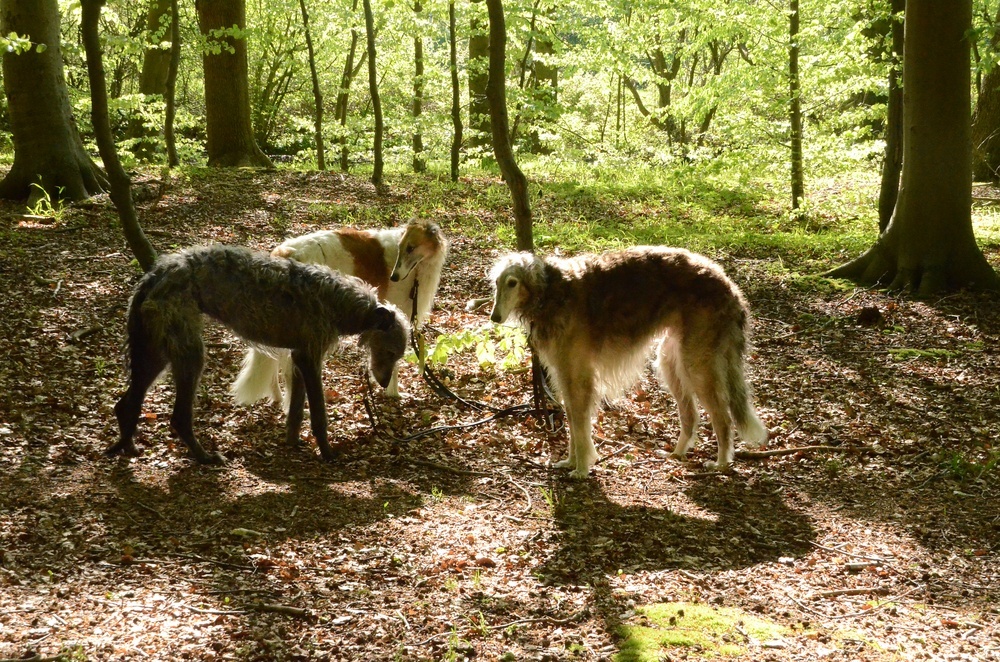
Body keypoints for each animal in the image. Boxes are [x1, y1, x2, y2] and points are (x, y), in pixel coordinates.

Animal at [107, 245, 408, 466]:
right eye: (391, 351)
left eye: (398, 356)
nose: (383, 383)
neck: (339, 301)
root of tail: (155, 274)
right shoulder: (310, 358)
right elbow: (318, 414)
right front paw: (327, 453)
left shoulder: (300, 357)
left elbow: (296, 411)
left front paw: (293, 442)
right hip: (188, 351)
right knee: (179, 417)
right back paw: (204, 457)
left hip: (155, 349)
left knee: (125, 404)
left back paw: (129, 445)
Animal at [232, 220, 448, 404]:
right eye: (402, 247)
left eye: (410, 248)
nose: (394, 277)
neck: (418, 271)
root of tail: (282, 254)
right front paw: (393, 392)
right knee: (287, 370)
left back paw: (277, 398)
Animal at [490, 248, 764, 478]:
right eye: (497, 283)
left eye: (512, 282)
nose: (494, 317)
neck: (551, 291)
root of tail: (730, 287)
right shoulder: (565, 374)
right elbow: (573, 421)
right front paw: (571, 462)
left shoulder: (579, 376)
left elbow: (579, 424)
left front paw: (581, 468)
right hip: (671, 361)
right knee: (691, 415)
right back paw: (677, 454)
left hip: (697, 365)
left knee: (723, 419)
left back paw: (721, 463)